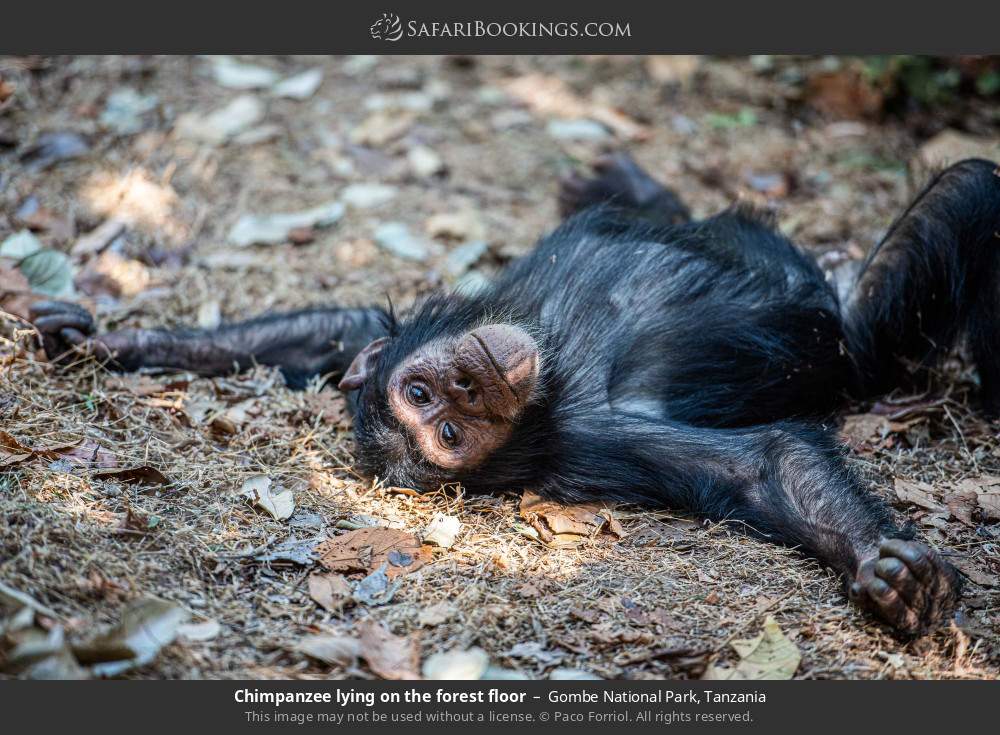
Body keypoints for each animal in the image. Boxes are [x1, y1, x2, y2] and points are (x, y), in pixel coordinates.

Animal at [30, 154, 1000, 635]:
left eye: (427, 392)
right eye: (447, 431)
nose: (466, 382)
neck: (554, 360)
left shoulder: (381, 336)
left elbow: (334, 329)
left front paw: (112, 338)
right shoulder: (603, 436)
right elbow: (765, 463)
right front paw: (892, 577)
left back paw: (632, 184)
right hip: (868, 334)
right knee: (969, 192)